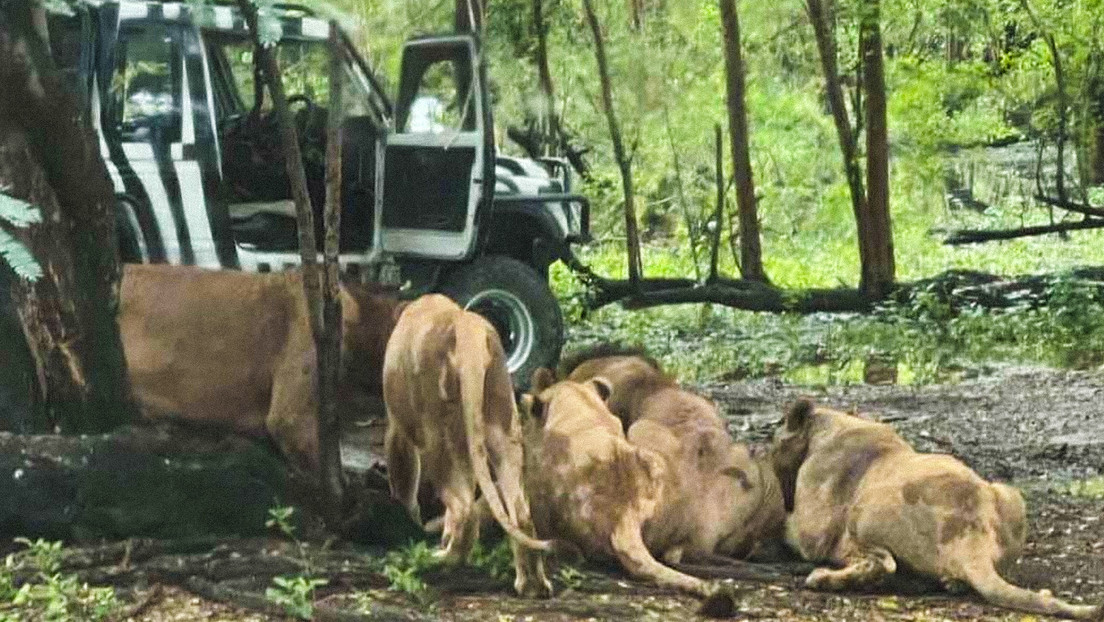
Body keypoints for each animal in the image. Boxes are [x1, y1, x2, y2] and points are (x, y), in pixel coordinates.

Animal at [382, 294, 553, 598]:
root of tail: (467, 329)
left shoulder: (397, 426)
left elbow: (404, 481)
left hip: (439, 437)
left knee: (465, 509)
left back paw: (440, 561)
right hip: (502, 427)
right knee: (520, 513)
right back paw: (532, 585)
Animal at [771, 398, 1103, 620]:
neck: (829, 425)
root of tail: (973, 537)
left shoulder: (811, 531)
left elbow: (790, 527)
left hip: (865, 512)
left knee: (883, 564)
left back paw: (821, 578)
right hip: (1010, 494)